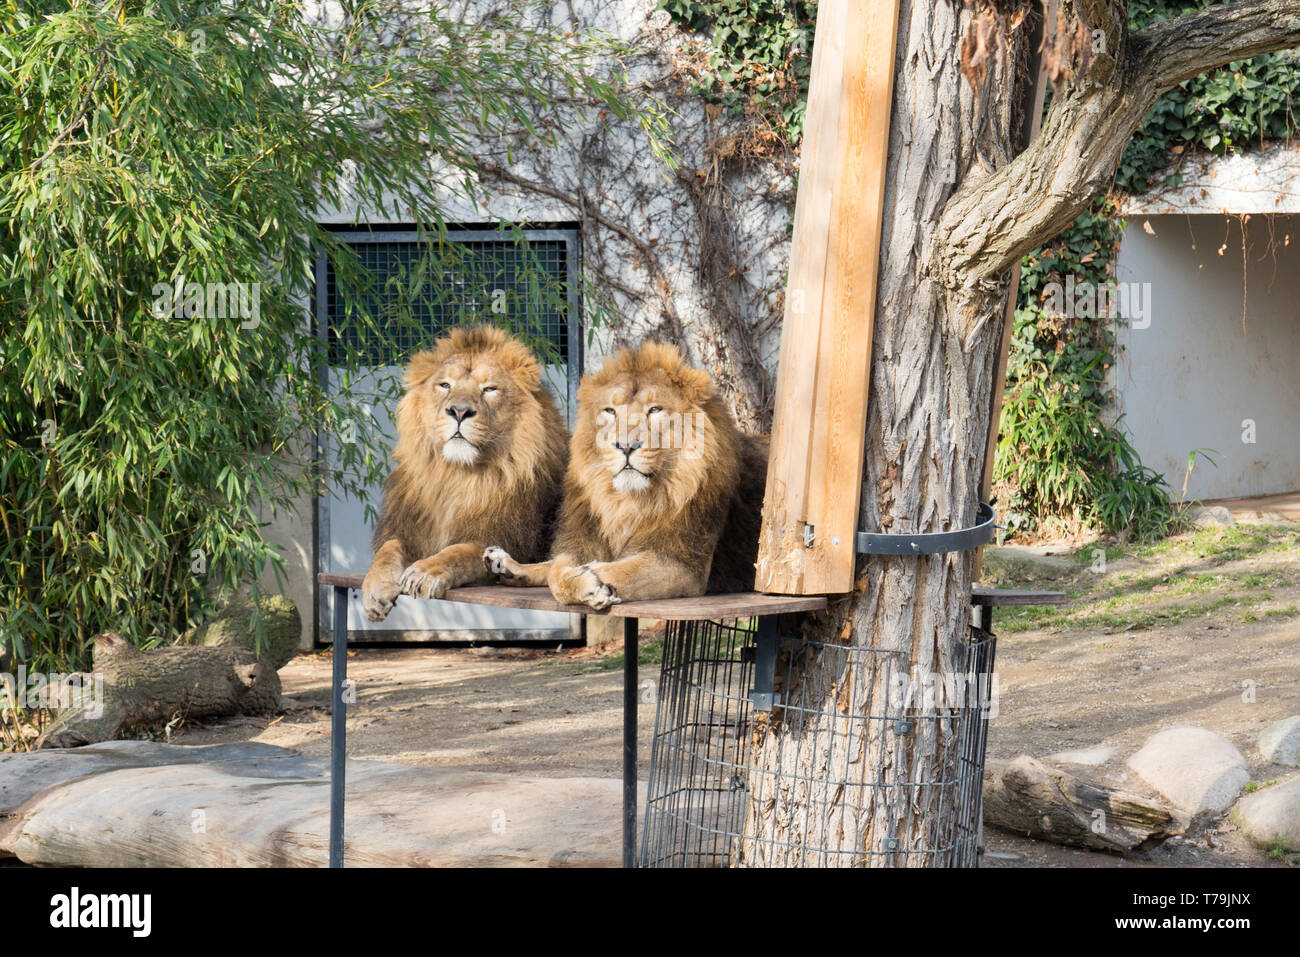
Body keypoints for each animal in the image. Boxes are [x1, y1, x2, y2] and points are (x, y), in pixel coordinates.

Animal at [360, 325, 568, 621]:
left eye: (489, 389)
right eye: (445, 385)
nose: (459, 411)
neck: (457, 475)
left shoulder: (507, 538)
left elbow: (458, 551)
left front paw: (425, 571)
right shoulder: (409, 529)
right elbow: (388, 549)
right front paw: (375, 588)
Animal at [482, 341, 767, 609]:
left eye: (655, 410)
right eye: (610, 411)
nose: (626, 446)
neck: (626, 502)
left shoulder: (683, 564)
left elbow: (618, 569)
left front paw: (593, 580)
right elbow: (557, 570)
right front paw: (584, 582)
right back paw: (505, 565)